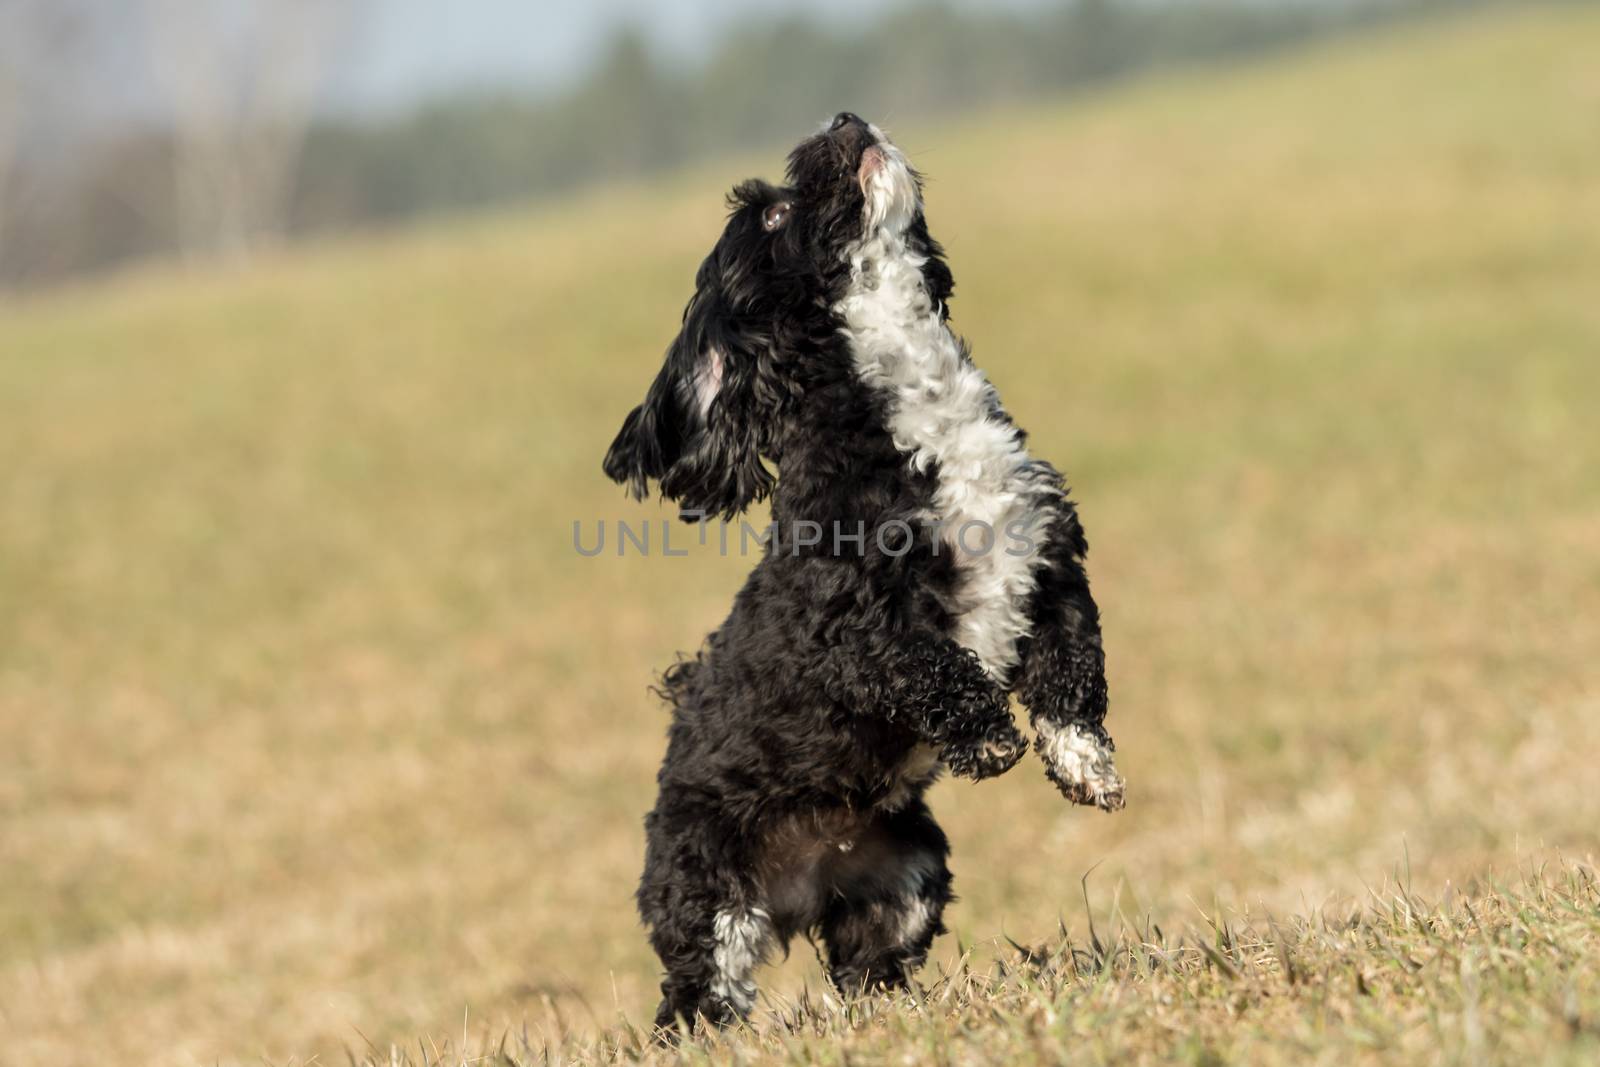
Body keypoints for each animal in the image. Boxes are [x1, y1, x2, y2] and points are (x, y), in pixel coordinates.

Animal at [601, 110, 1126, 1036]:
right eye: (773, 216)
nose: (841, 119)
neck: (917, 413)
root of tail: (797, 894)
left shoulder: (1052, 564)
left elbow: (1073, 672)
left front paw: (1083, 763)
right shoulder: (849, 629)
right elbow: (933, 666)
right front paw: (991, 738)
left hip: (904, 872)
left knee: (870, 968)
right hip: (708, 896)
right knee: (697, 997)